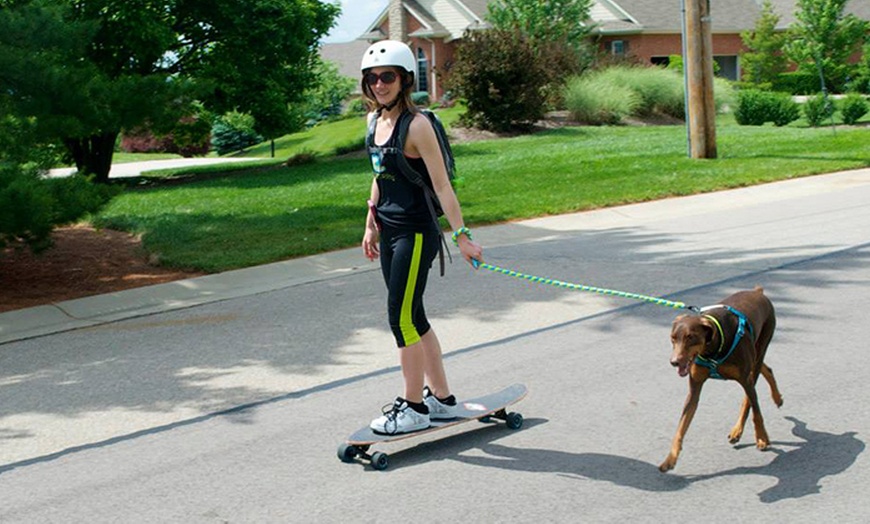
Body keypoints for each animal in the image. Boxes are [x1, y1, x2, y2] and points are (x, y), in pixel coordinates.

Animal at [660, 288, 784, 472]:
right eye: (673, 338)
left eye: (691, 337)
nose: (674, 362)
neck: (712, 350)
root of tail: (757, 291)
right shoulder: (694, 389)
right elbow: (681, 428)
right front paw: (670, 459)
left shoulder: (745, 379)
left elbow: (755, 411)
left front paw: (762, 437)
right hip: (754, 357)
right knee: (766, 369)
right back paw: (776, 399)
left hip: (760, 349)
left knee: (749, 397)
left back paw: (740, 429)